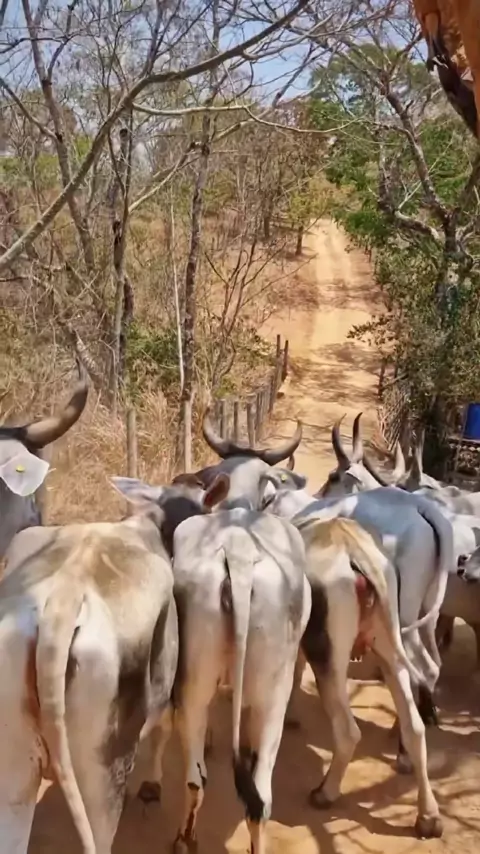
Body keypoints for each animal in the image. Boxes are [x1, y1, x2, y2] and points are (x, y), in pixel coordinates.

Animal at [114, 474, 312, 854]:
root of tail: (239, 552)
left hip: (213, 685)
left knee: (221, 786)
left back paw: (186, 839)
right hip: (259, 689)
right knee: (235, 789)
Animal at [260, 499, 442, 839]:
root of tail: (357, 554)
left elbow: (292, 675)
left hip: (330, 656)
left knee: (347, 731)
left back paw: (324, 793)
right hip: (389, 644)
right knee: (415, 726)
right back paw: (429, 817)